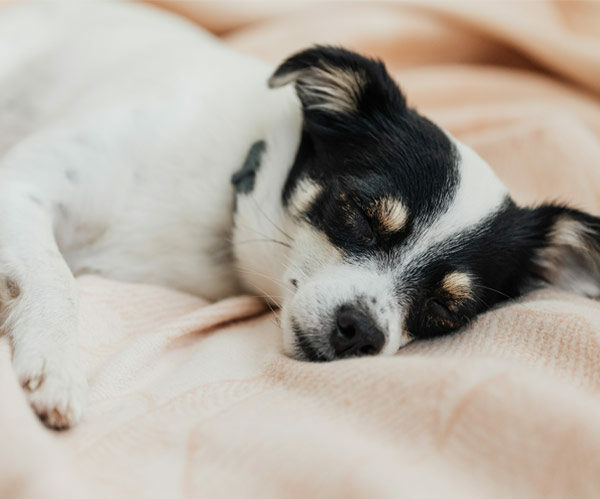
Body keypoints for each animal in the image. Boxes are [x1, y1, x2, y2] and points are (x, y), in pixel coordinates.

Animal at [1, 0, 600, 430]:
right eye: (361, 214)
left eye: (445, 308)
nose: (362, 333)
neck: (234, 183)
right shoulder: (20, 184)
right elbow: (56, 279)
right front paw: (55, 366)